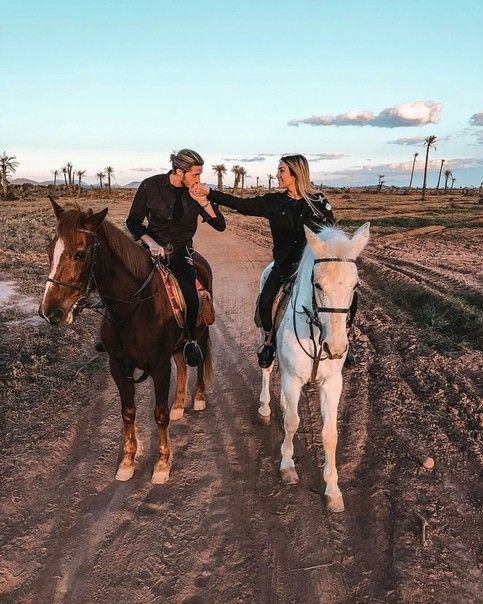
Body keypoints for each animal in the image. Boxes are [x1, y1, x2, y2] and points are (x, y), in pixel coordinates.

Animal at [40, 201, 215, 484]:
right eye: (49, 250)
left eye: (80, 254)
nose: (51, 311)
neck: (132, 308)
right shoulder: (119, 367)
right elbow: (128, 413)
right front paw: (127, 461)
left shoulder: (159, 367)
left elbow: (159, 414)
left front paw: (162, 464)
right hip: (177, 346)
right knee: (181, 363)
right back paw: (179, 405)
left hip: (200, 334)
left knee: (197, 361)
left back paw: (198, 398)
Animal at [260, 224, 368, 512]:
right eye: (317, 284)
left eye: (355, 285)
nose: (337, 348)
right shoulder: (292, 378)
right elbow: (292, 422)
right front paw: (287, 467)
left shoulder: (332, 384)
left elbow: (330, 434)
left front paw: (333, 490)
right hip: (266, 339)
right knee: (267, 369)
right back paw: (265, 407)